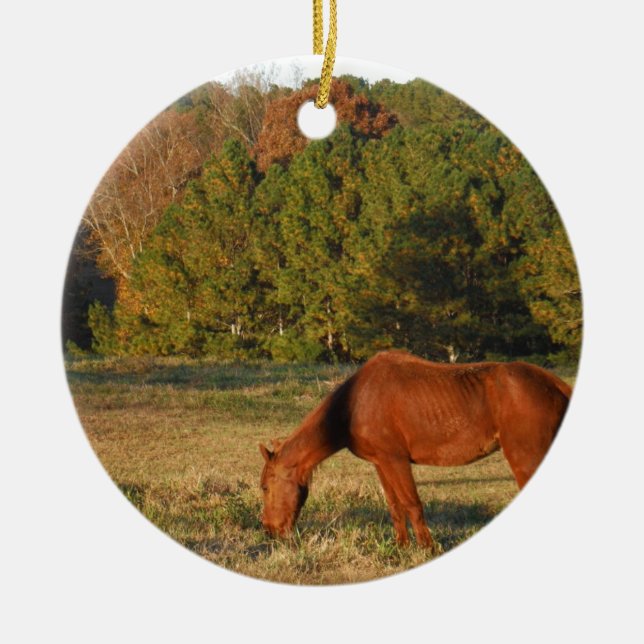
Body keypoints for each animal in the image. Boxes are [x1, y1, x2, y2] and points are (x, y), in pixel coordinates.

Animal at [259, 350, 571, 548]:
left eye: (264, 486)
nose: (270, 531)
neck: (355, 404)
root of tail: (553, 383)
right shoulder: (381, 463)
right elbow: (395, 506)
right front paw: (401, 547)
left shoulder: (396, 461)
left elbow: (412, 504)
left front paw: (426, 548)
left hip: (524, 458)